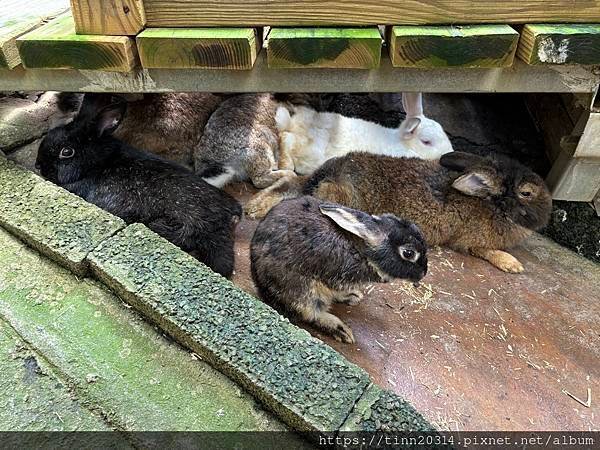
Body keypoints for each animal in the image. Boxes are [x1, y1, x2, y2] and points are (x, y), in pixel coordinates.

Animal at [246, 151, 552, 272]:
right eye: (526, 193)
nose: (550, 210)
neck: (493, 203)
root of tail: (329, 174)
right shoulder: (470, 242)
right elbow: (487, 251)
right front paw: (514, 265)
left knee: (287, 183)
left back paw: (253, 208)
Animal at [251, 195, 428, 342]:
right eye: (408, 253)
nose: (424, 272)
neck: (360, 249)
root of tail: (259, 285)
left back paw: (353, 296)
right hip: (300, 289)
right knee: (311, 314)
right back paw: (341, 330)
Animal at [274, 92, 452, 176]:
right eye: (426, 142)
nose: (448, 153)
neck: (402, 143)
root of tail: (294, 124)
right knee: (286, 139)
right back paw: (285, 166)